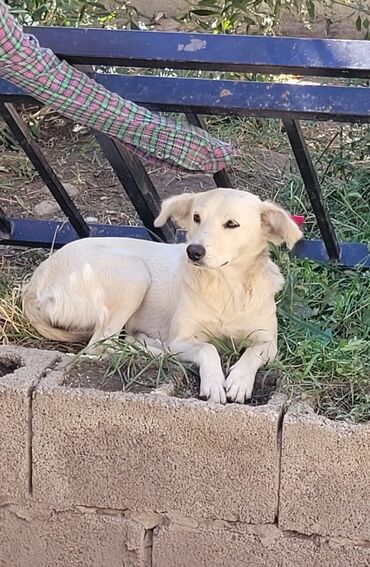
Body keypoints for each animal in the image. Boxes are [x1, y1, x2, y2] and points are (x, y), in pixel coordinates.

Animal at [22, 190, 300, 404]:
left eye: (232, 224)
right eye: (196, 217)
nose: (193, 251)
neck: (225, 287)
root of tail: (34, 284)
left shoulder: (268, 342)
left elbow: (252, 353)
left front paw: (240, 381)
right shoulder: (182, 339)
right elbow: (208, 347)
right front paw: (214, 383)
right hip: (133, 274)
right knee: (102, 345)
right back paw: (146, 345)